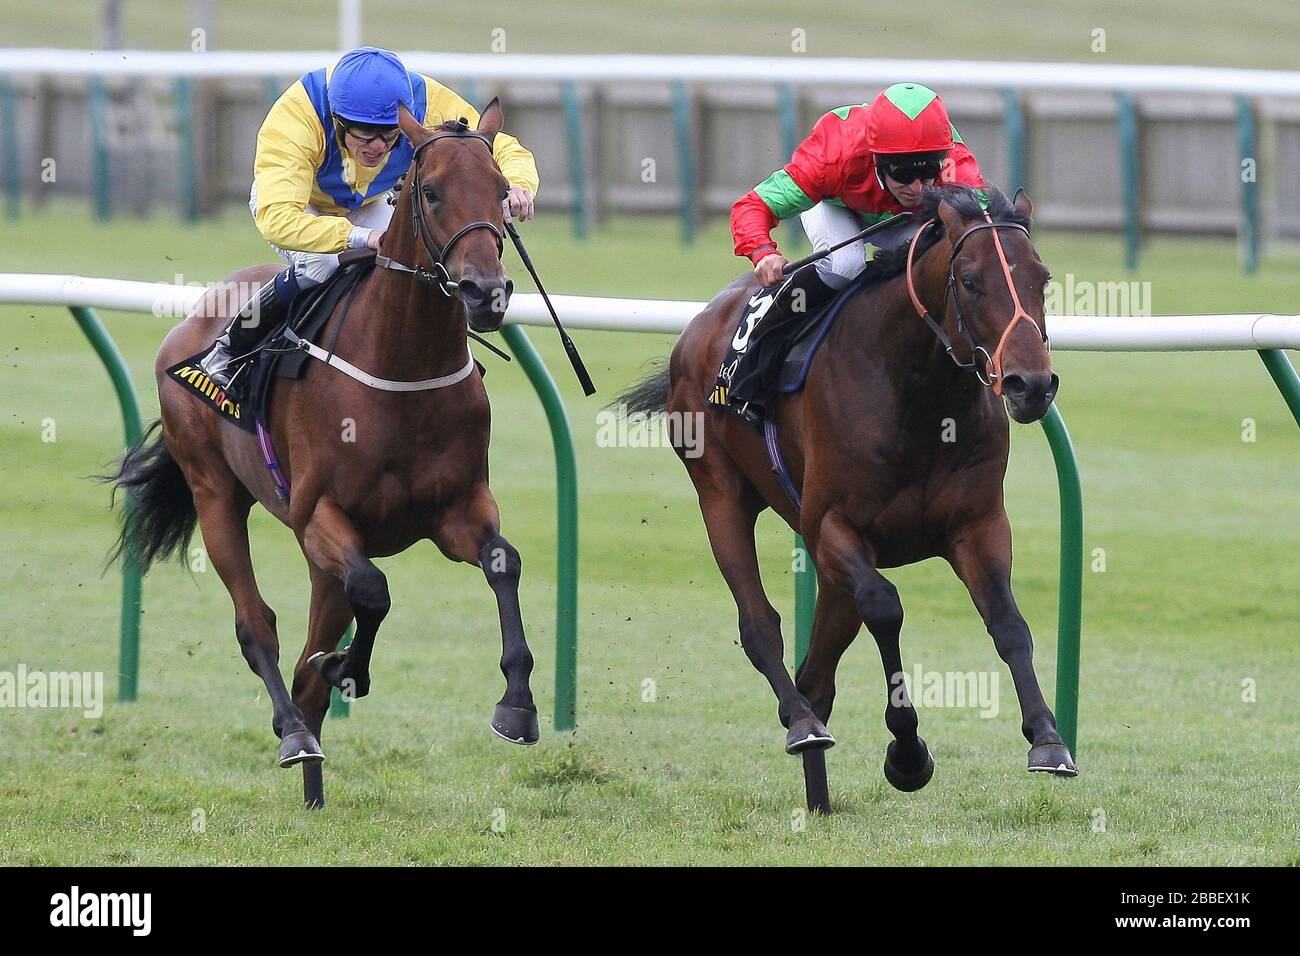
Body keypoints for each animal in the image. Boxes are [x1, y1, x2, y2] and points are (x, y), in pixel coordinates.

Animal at [618, 183, 1076, 811]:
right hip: (720, 493)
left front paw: (1048, 740)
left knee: (818, 673)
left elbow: (1009, 623)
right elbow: (885, 606)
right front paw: (907, 754)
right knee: (760, 626)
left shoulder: (978, 525)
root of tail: (700, 323)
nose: (1031, 385)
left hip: (830, 572)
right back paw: (801, 723)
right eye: (970, 280)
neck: (919, 394)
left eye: (1042, 277)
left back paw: (819, 797)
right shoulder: (833, 526)